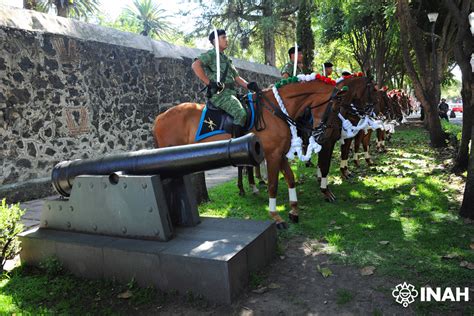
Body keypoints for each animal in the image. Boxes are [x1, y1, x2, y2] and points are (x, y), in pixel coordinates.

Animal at [154, 78, 342, 227]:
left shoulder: (279, 153)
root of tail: (160, 117)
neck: (276, 109)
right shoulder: (272, 155)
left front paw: (294, 210)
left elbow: (290, 178)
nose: (326, 135)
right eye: (334, 108)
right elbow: (273, 185)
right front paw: (276, 216)